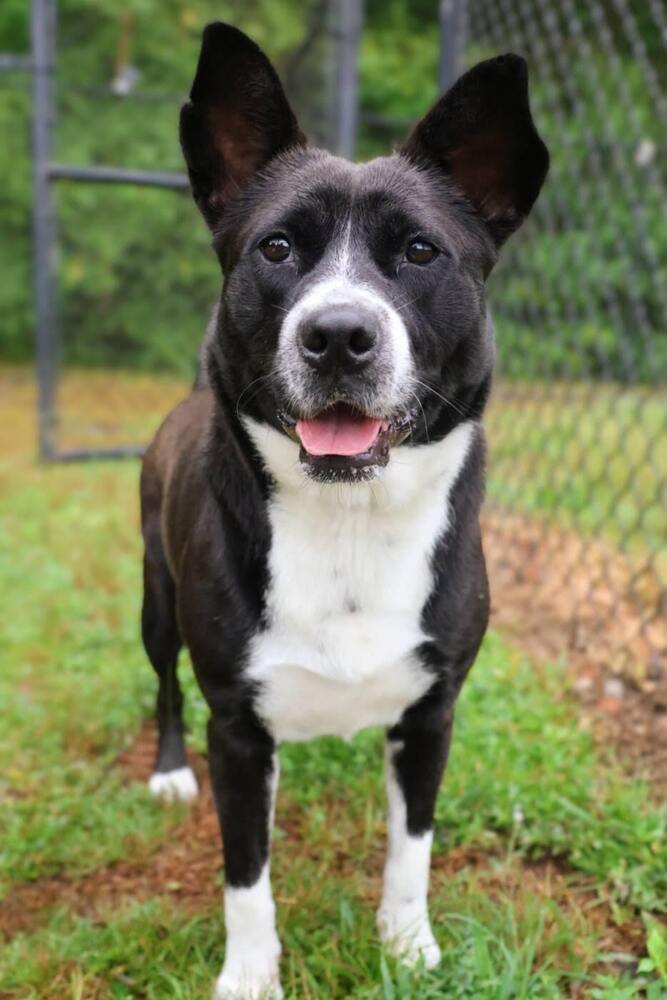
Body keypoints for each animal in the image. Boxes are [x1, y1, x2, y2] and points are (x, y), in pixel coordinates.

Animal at [140, 23, 548, 1000]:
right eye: (277, 249)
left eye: (421, 253)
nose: (336, 336)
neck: (351, 519)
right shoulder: (235, 727)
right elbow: (245, 874)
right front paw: (249, 976)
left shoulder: (432, 711)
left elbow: (412, 849)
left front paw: (407, 948)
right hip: (156, 600)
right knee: (166, 683)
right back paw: (170, 770)